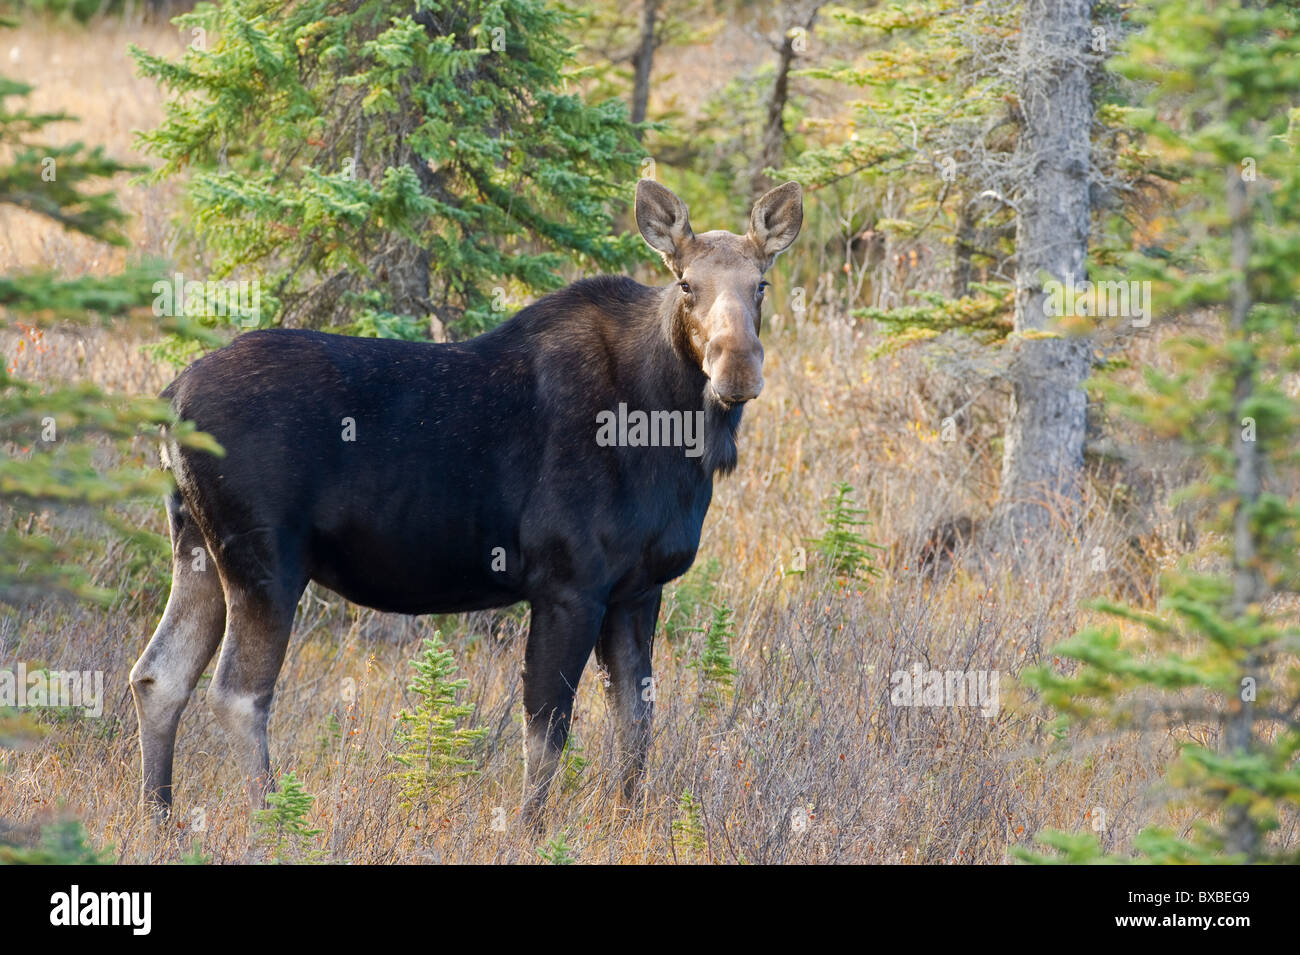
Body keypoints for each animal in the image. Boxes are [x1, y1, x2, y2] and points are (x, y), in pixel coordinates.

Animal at [130, 179, 803, 824]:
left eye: (761, 283)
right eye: (686, 283)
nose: (738, 368)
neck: (673, 434)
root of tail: (171, 399)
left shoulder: (639, 590)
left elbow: (635, 727)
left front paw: (626, 823)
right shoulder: (569, 585)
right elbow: (548, 734)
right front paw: (531, 832)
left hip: (196, 549)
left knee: (159, 675)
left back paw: (160, 819)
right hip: (266, 561)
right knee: (238, 694)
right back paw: (274, 821)